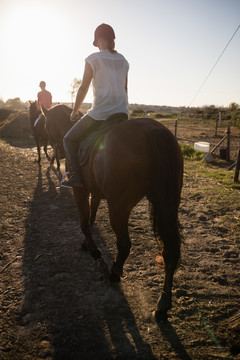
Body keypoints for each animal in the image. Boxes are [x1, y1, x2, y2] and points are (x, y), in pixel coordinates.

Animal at [72, 116, 183, 320]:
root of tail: (153, 130)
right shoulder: (96, 192)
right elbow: (91, 218)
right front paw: (86, 244)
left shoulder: (80, 190)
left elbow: (84, 221)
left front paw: (95, 252)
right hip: (167, 204)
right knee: (170, 251)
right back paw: (164, 303)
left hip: (118, 206)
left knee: (124, 244)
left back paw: (114, 273)